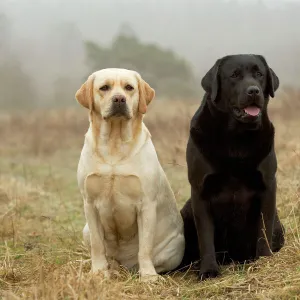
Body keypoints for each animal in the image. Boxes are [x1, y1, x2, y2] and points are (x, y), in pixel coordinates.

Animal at [74, 67, 184, 282]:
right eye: (104, 88)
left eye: (129, 88)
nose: (119, 99)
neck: (114, 143)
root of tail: (126, 266)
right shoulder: (89, 203)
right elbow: (98, 245)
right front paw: (98, 272)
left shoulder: (146, 204)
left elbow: (145, 247)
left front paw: (148, 276)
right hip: (85, 230)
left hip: (176, 246)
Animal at [178, 54, 286, 282]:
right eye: (234, 75)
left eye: (259, 74)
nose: (253, 90)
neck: (236, 138)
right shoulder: (200, 190)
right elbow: (206, 237)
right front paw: (208, 270)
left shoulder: (268, 185)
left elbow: (264, 228)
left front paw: (264, 261)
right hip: (185, 213)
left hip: (279, 227)